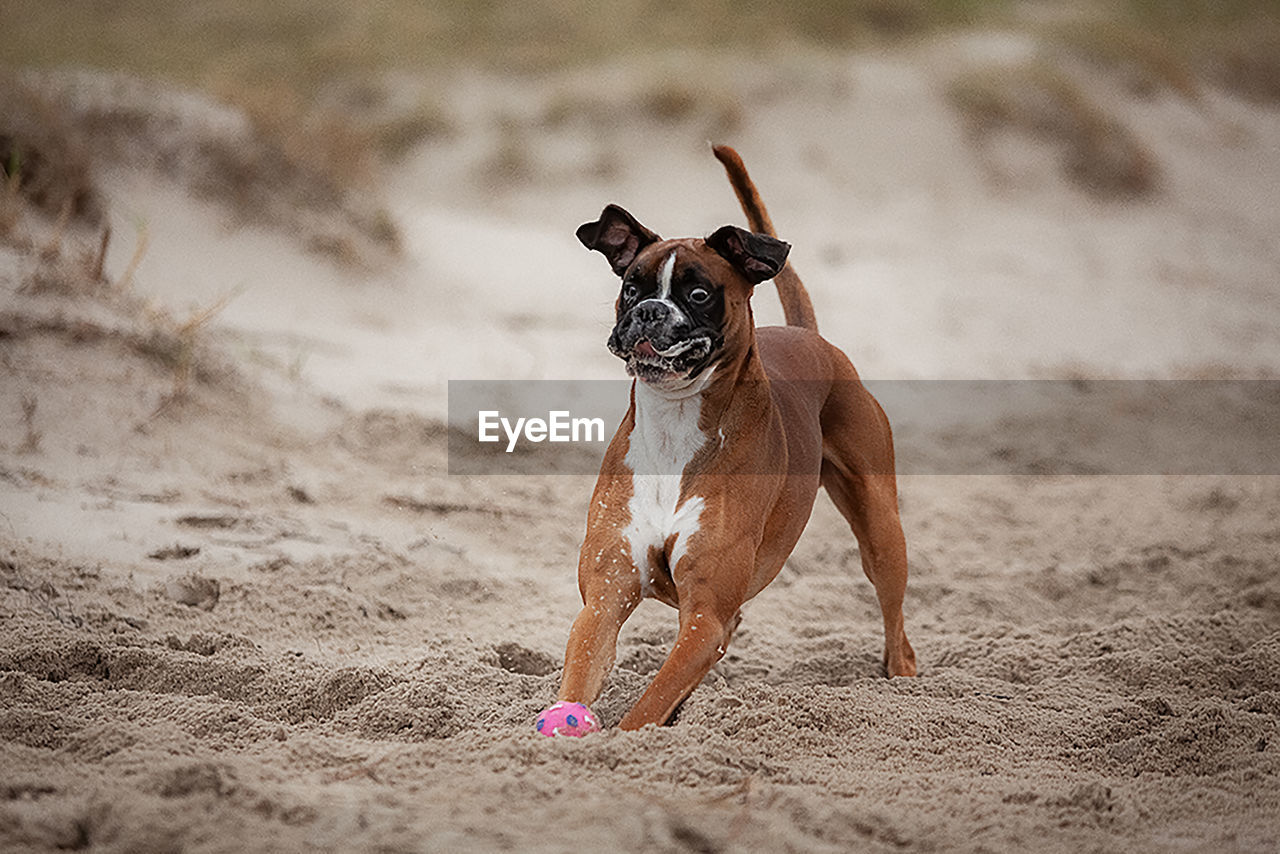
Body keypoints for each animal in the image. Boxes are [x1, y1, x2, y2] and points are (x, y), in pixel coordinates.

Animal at [535, 147, 916, 737]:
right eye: (631, 287)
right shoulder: (604, 598)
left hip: (880, 530)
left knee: (895, 624)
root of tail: (811, 337)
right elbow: (584, 674)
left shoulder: (703, 617)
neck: (674, 424)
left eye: (698, 294)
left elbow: (647, 705)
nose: (649, 311)